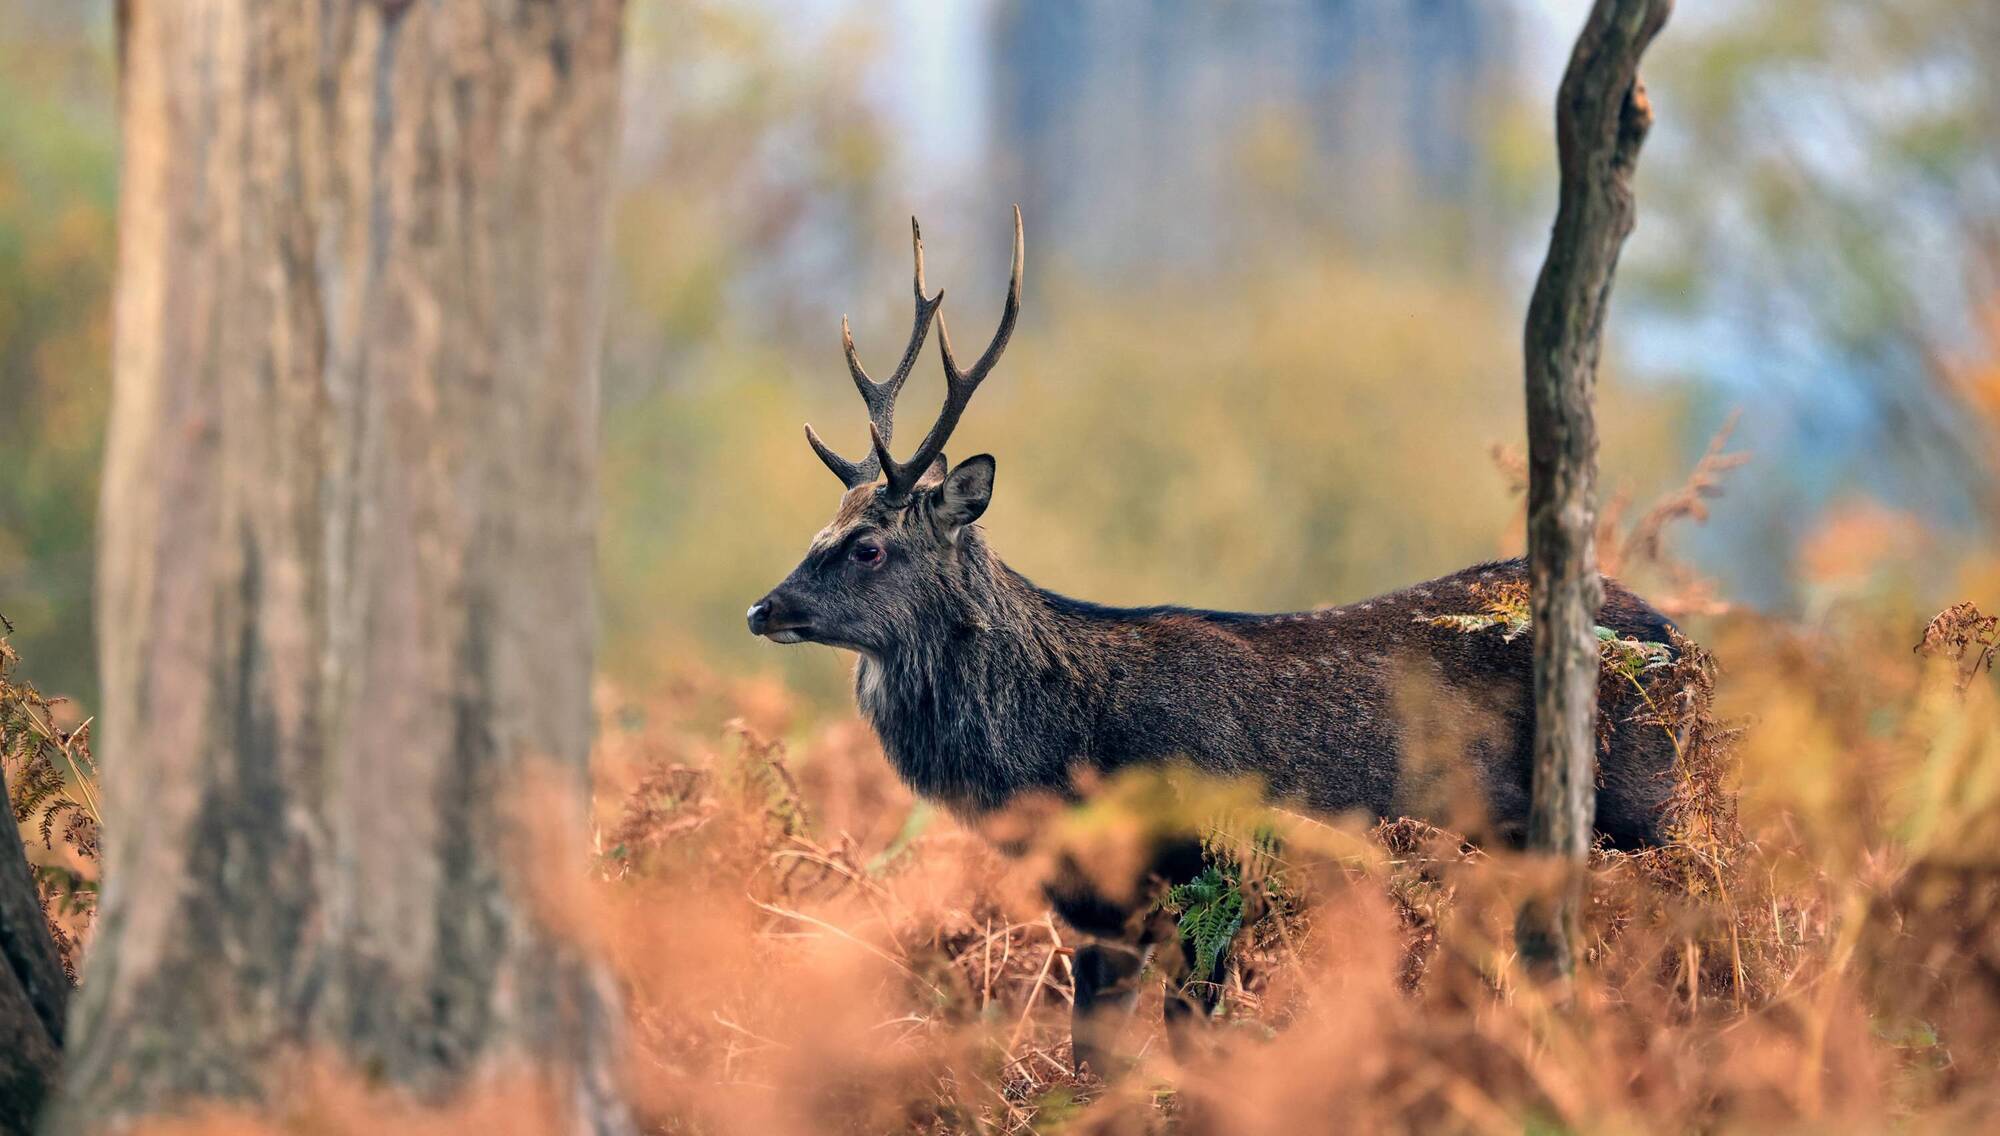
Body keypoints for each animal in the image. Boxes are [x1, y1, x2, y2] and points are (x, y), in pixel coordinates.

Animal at [747, 210, 1682, 1074]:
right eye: (821, 528)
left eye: (868, 546)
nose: (762, 608)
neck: (1066, 760)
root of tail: (1672, 632)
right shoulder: (1097, 915)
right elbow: (1093, 1061)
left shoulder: (1215, 879)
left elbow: (1191, 1048)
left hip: (1647, 808)